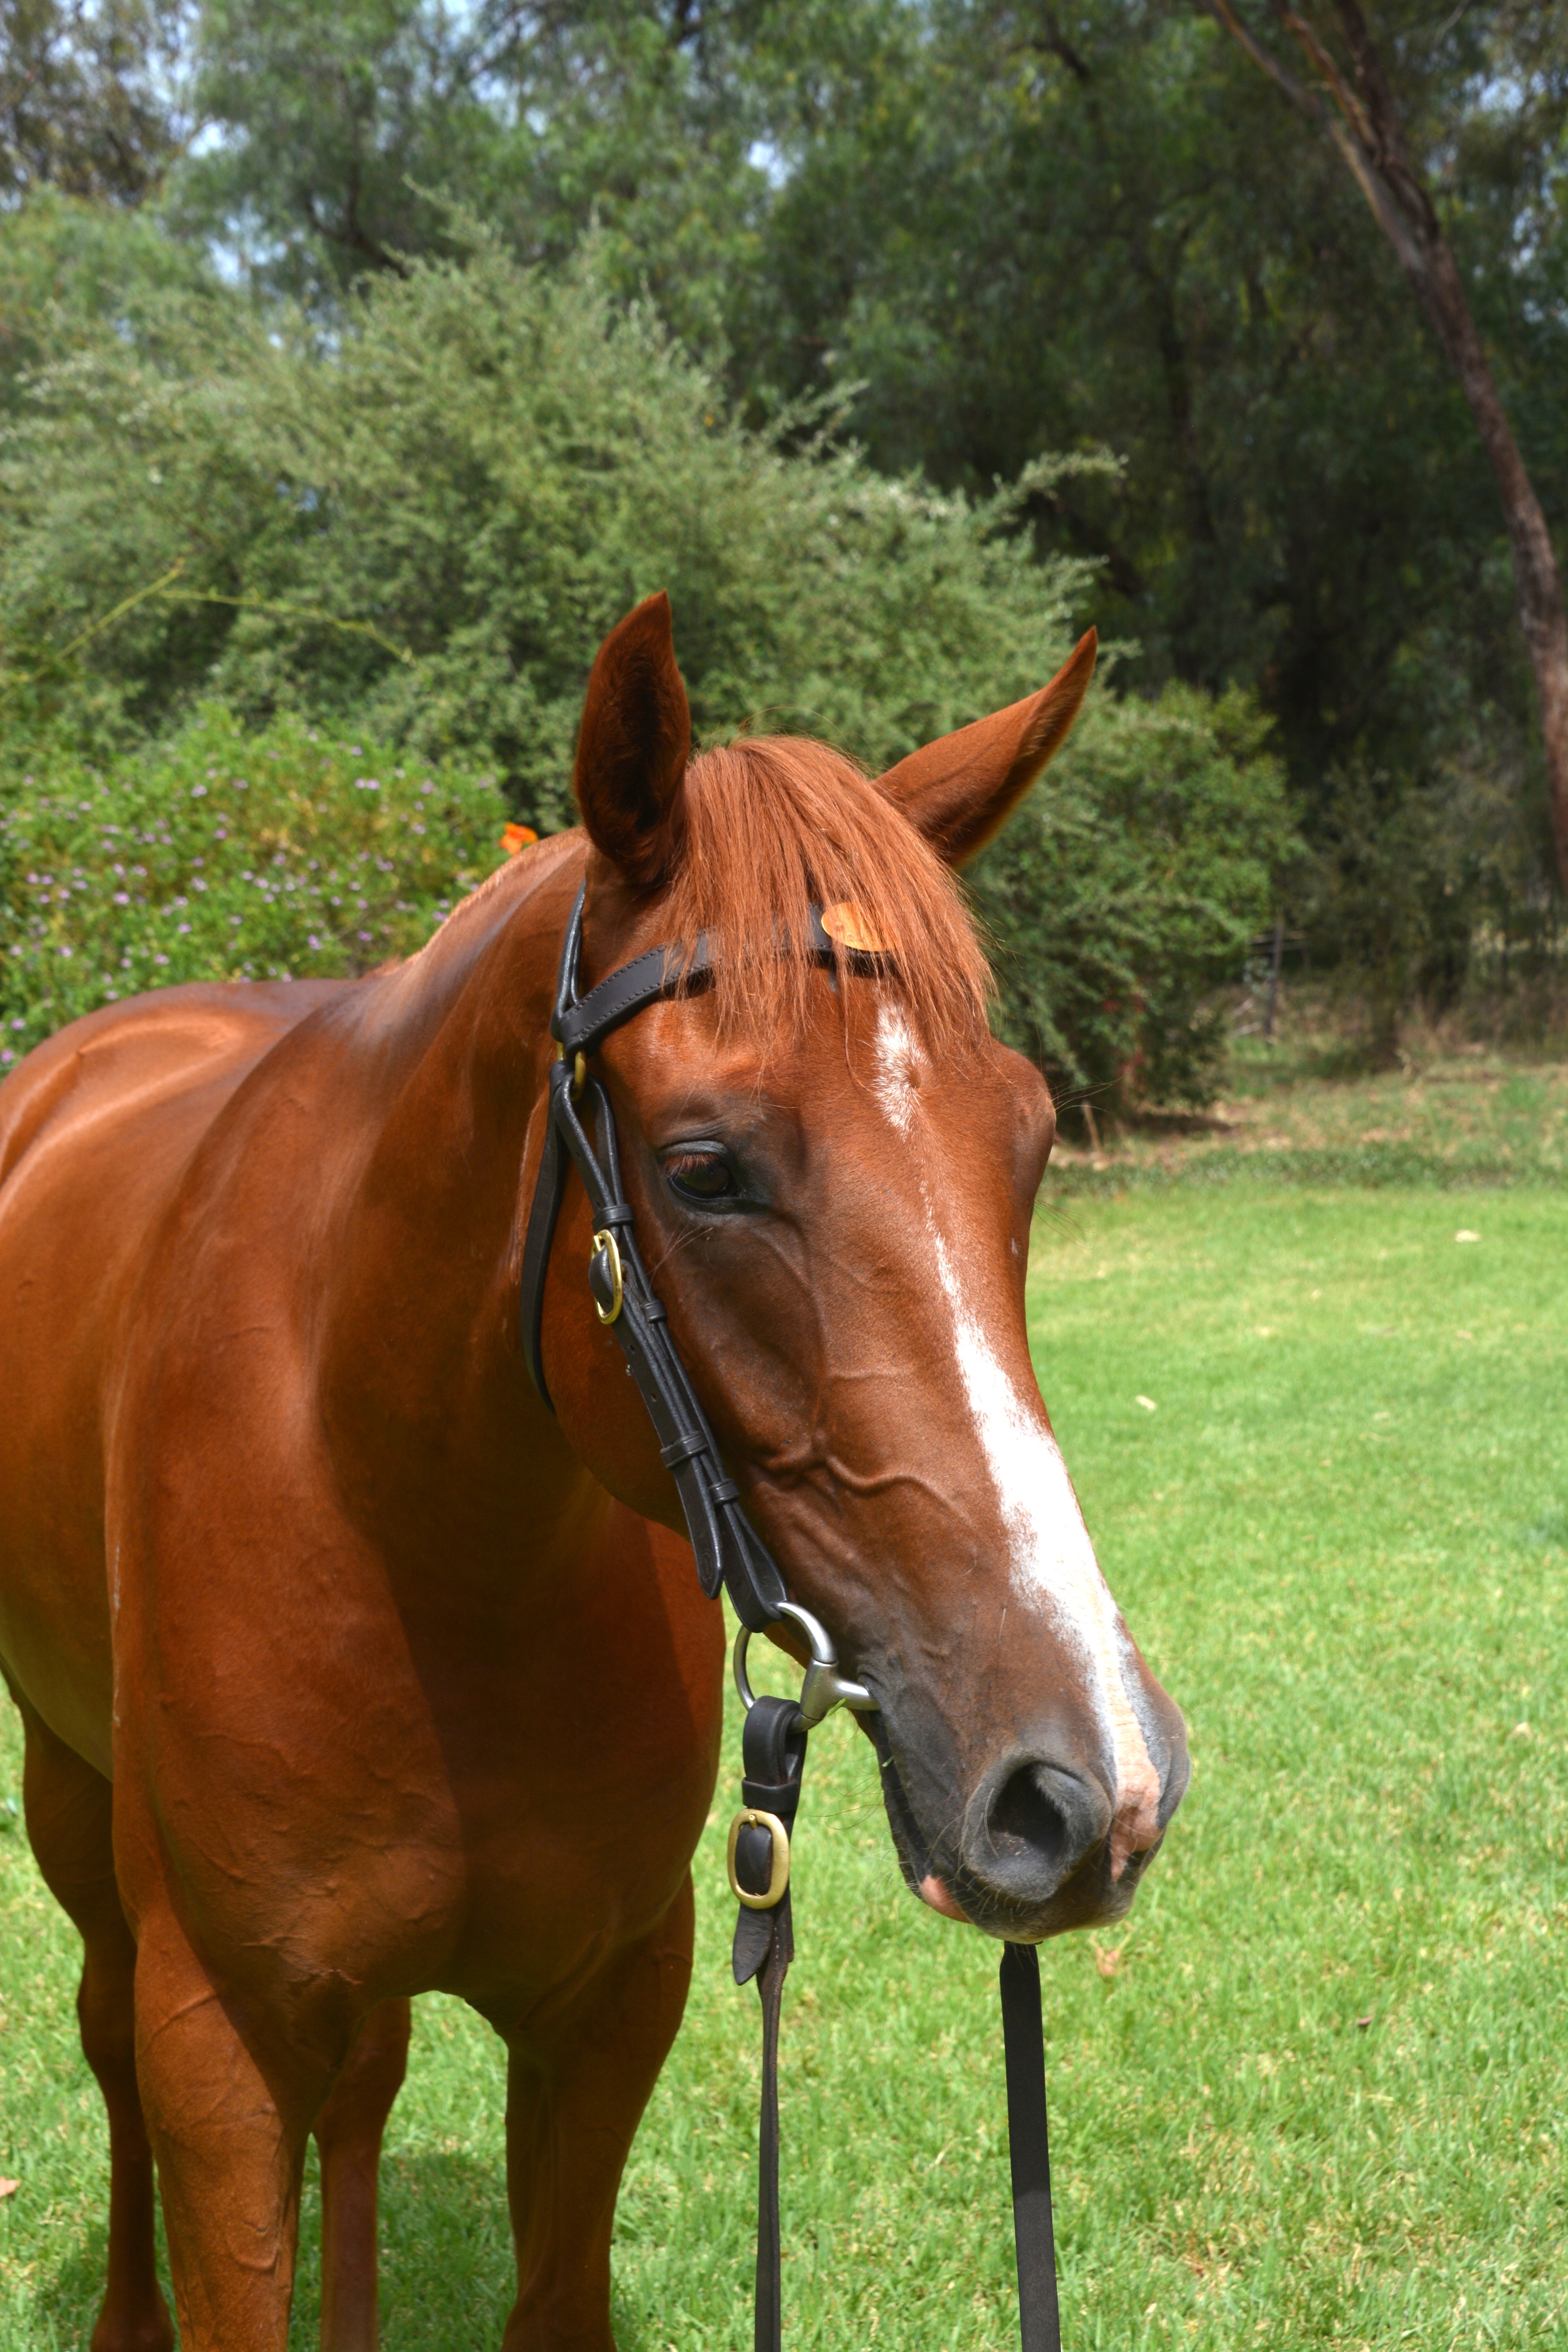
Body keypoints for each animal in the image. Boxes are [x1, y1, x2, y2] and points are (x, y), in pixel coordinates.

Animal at [0, 592, 1188, 2352]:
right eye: (702, 1170)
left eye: (1030, 1141)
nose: (1089, 1783)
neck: (410, 1517)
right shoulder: (220, 2034)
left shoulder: (612, 2000)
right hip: (74, 1803)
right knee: (101, 2031)